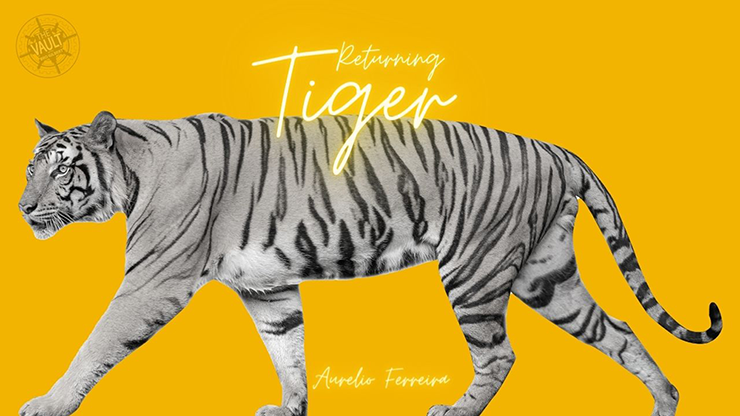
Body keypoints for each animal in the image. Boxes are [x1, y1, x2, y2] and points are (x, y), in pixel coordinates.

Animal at [18, 111, 722, 416]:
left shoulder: (151, 282)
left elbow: (94, 343)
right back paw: (665, 402)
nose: (23, 208)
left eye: (61, 169)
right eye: (30, 168)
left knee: (500, 354)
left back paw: (456, 411)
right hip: (545, 276)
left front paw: (48, 404)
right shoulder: (269, 290)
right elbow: (289, 352)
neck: (130, 172)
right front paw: (290, 408)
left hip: (475, 270)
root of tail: (554, 149)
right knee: (619, 330)